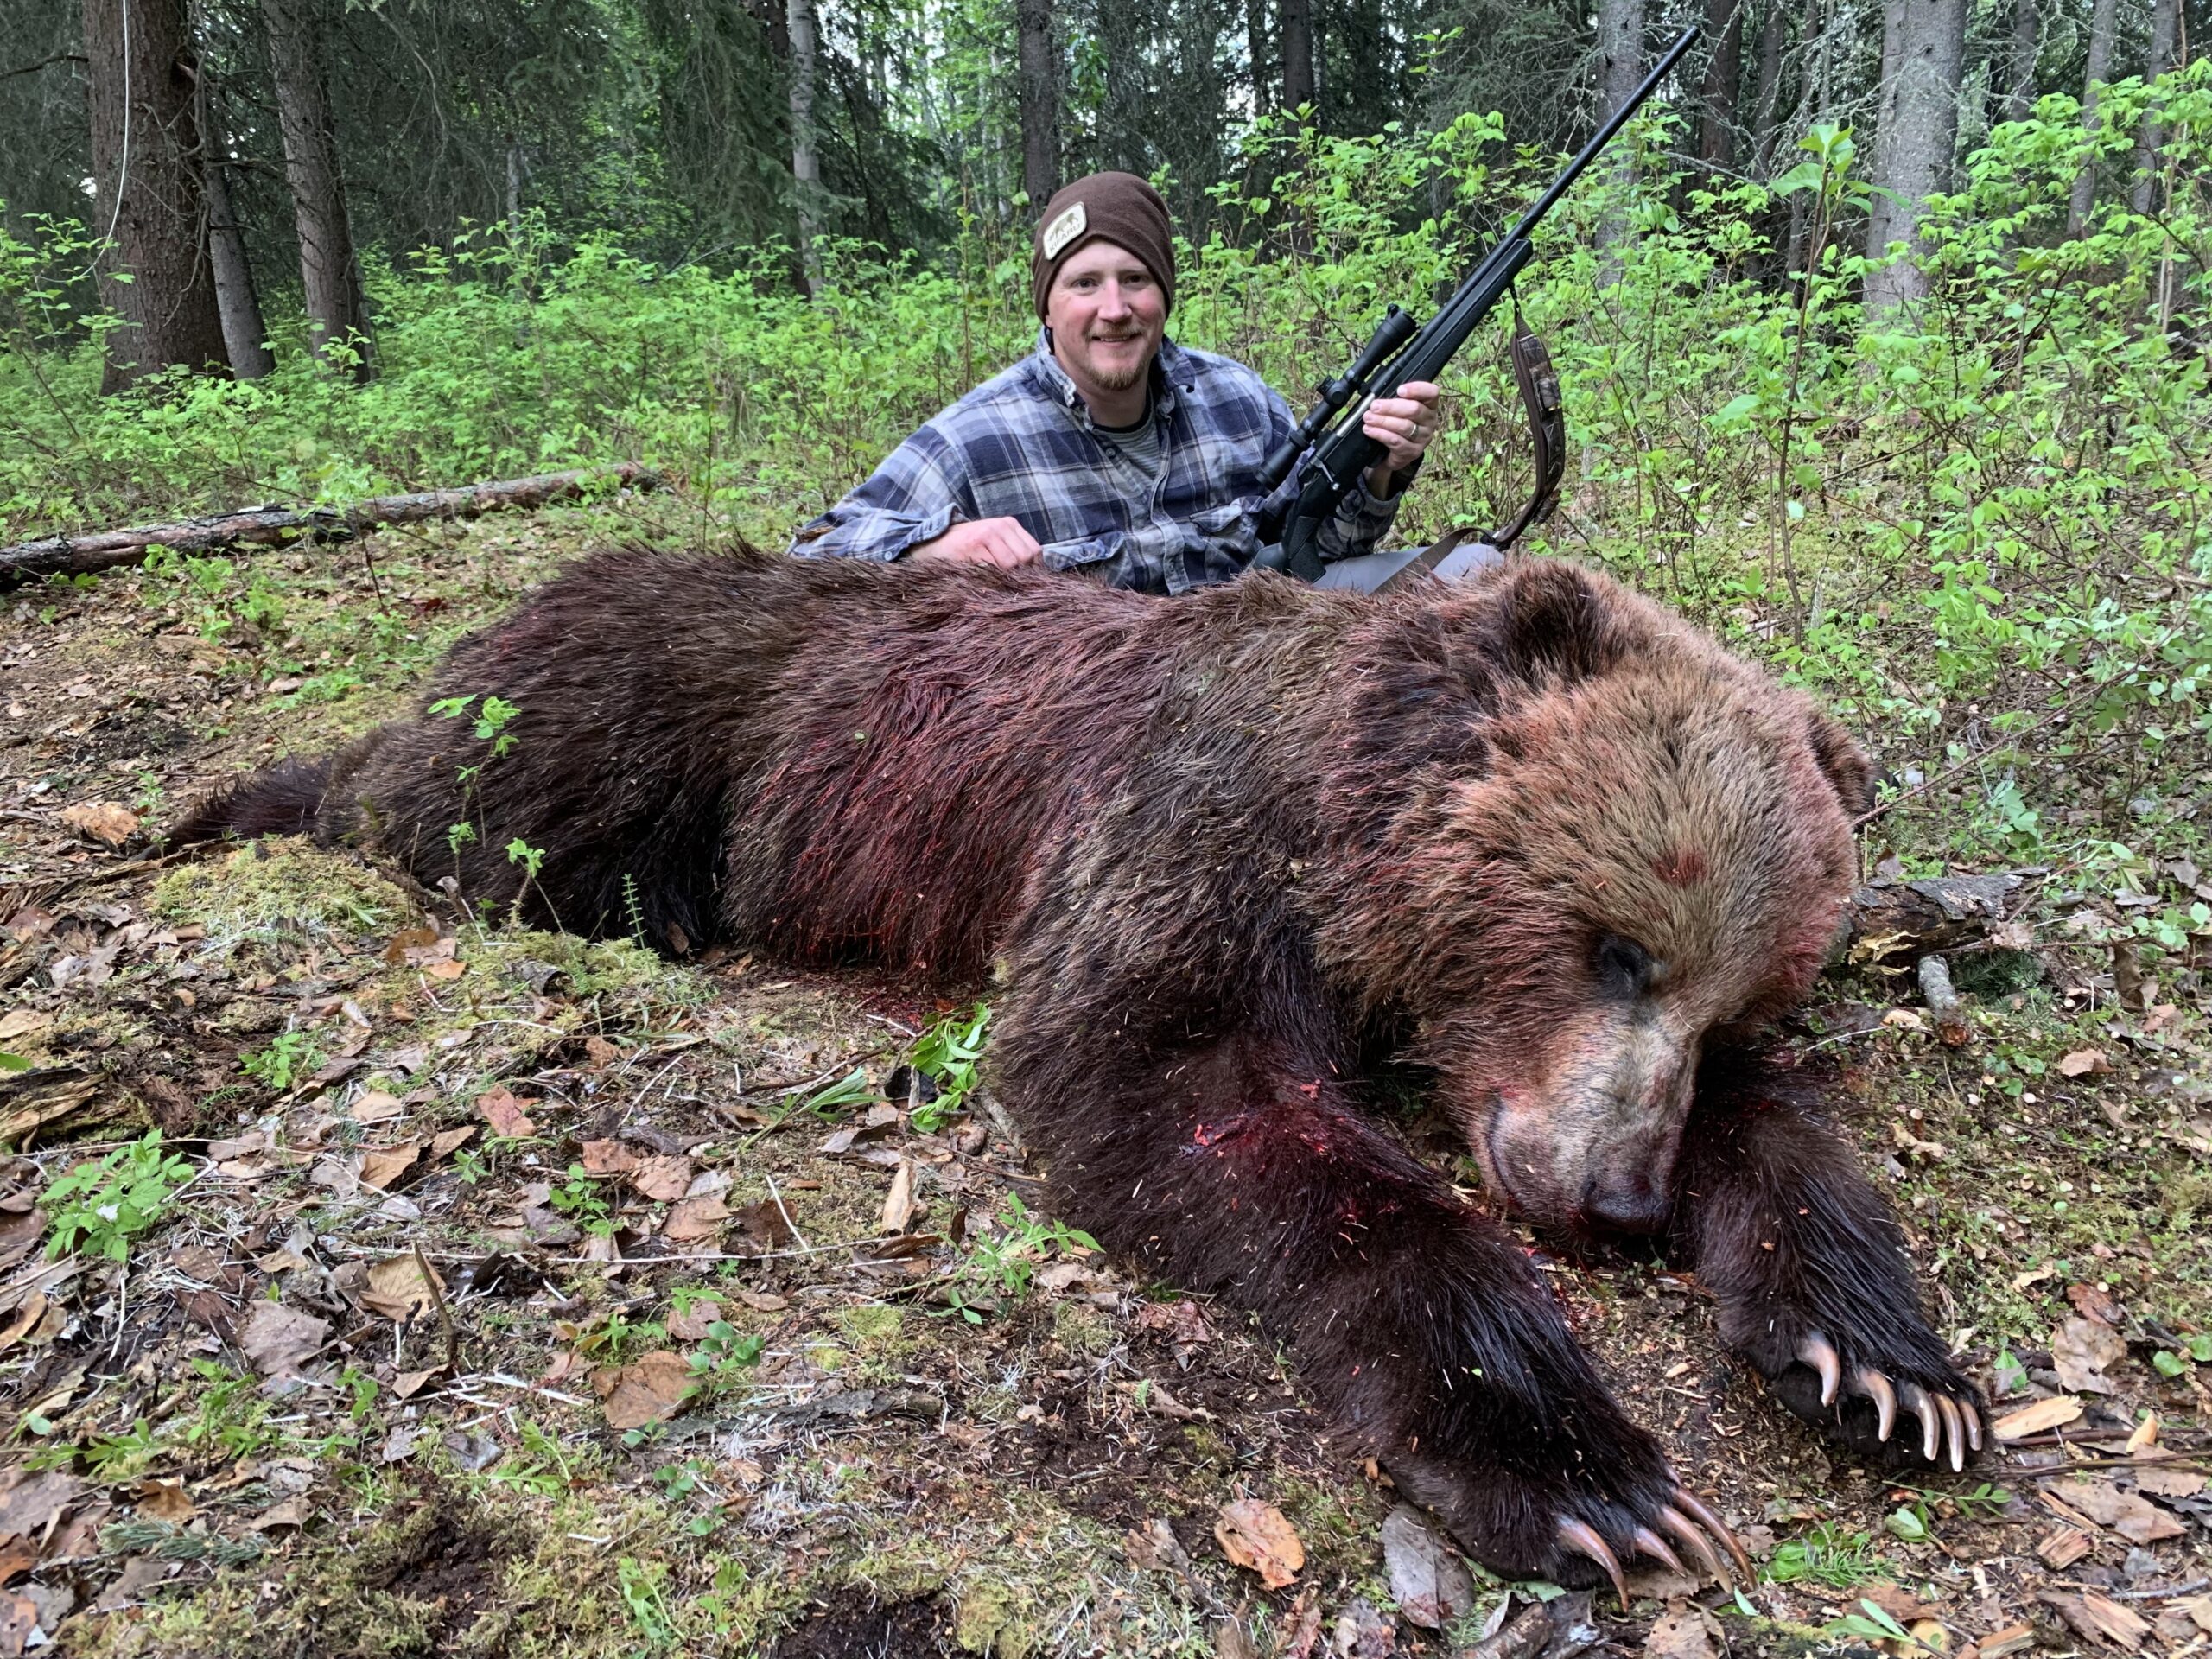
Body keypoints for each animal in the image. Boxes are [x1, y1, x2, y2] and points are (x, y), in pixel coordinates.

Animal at [176, 548, 1991, 1601]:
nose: (1610, 1197)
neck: (1350, 840)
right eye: (1617, 944)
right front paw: (1579, 1465)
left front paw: (1889, 1365)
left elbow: (1786, 1140)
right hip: (649, 715)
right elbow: (1180, 1089)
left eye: (1736, 995)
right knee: (459, 810)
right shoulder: (1187, 849)